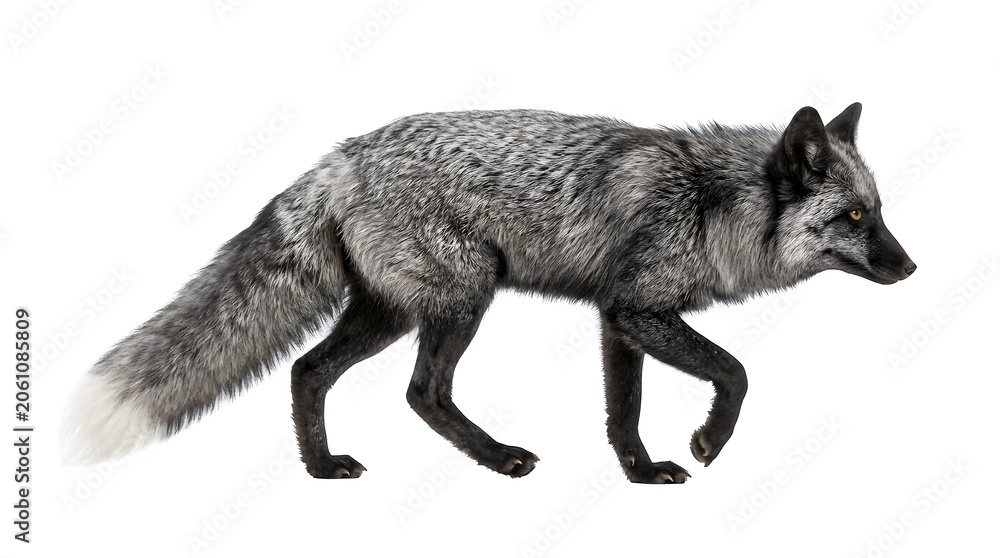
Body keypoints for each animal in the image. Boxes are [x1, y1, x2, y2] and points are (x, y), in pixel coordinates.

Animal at [61, 103, 915, 484]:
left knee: (307, 371)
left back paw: (321, 467)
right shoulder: (639, 310)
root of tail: (338, 158)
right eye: (854, 216)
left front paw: (641, 474)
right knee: (422, 393)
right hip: (461, 300)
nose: (910, 269)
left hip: (387, 312)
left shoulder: (618, 320)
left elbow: (624, 414)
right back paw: (499, 458)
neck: (712, 203)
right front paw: (708, 443)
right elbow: (735, 372)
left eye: (879, 211)